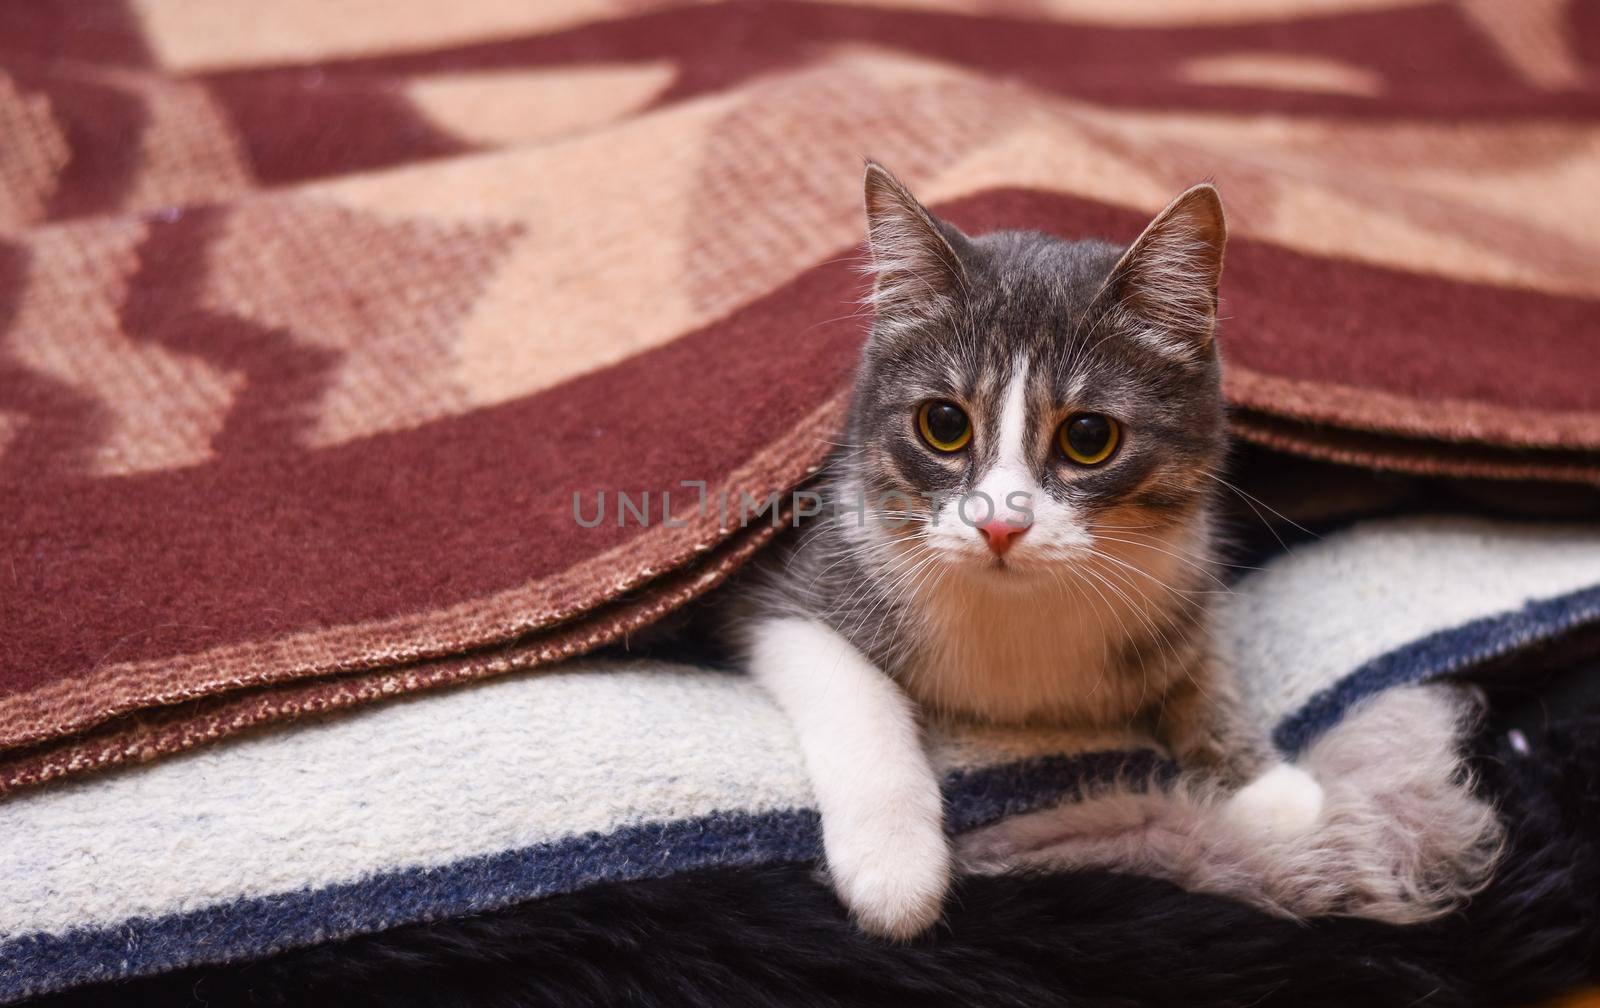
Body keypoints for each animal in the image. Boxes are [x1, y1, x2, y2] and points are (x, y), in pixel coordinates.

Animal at [732, 161, 1318, 947]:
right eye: (943, 424)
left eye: (1090, 437)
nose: (1000, 526)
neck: (1020, 606)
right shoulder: (793, 585)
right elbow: (847, 685)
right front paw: (895, 866)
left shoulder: (1184, 572)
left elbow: (1204, 662)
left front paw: (1267, 786)